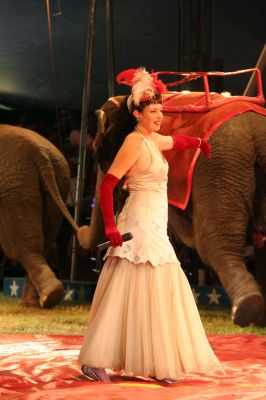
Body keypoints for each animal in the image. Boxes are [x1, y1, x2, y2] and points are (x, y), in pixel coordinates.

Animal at [0, 124, 79, 306]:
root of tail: (41, 155)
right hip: (58, 183)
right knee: (45, 245)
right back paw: (36, 302)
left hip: (15, 189)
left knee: (23, 248)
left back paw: (43, 299)